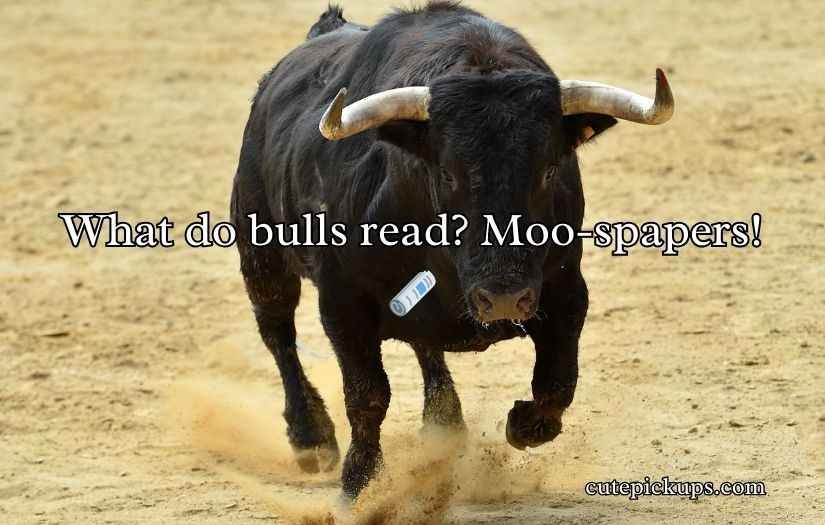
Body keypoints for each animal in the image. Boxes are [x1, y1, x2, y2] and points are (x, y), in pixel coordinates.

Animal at [230, 2, 673, 499]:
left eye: (548, 170)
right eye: (447, 174)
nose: (503, 299)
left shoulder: (565, 289)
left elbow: (557, 381)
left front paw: (522, 422)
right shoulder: (342, 301)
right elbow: (367, 395)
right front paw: (360, 487)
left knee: (426, 347)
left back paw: (446, 426)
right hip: (260, 253)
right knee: (278, 333)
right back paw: (312, 439)